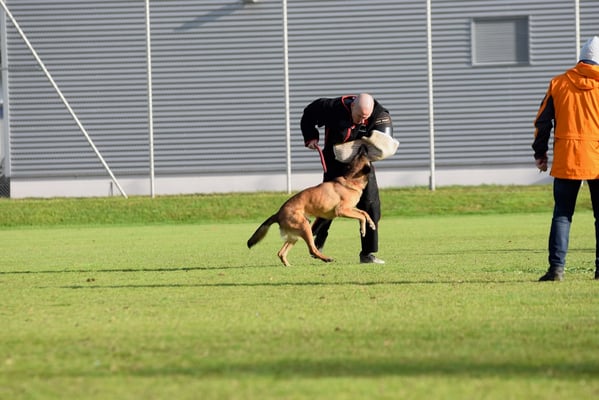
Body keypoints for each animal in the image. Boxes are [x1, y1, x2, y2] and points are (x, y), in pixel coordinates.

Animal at [247, 146, 375, 266]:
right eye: (363, 154)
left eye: (358, 155)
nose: (363, 146)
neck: (351, 179)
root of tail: (278, 214)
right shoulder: (342, 210)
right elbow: (361, 216)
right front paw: (363, 229)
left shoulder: (350, 209)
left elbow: (364, 213)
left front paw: (371, 224)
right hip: (305, 226)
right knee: (312, 249)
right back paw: (327, 259)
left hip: (297, 233)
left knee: (281, 253)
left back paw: (288, 265)